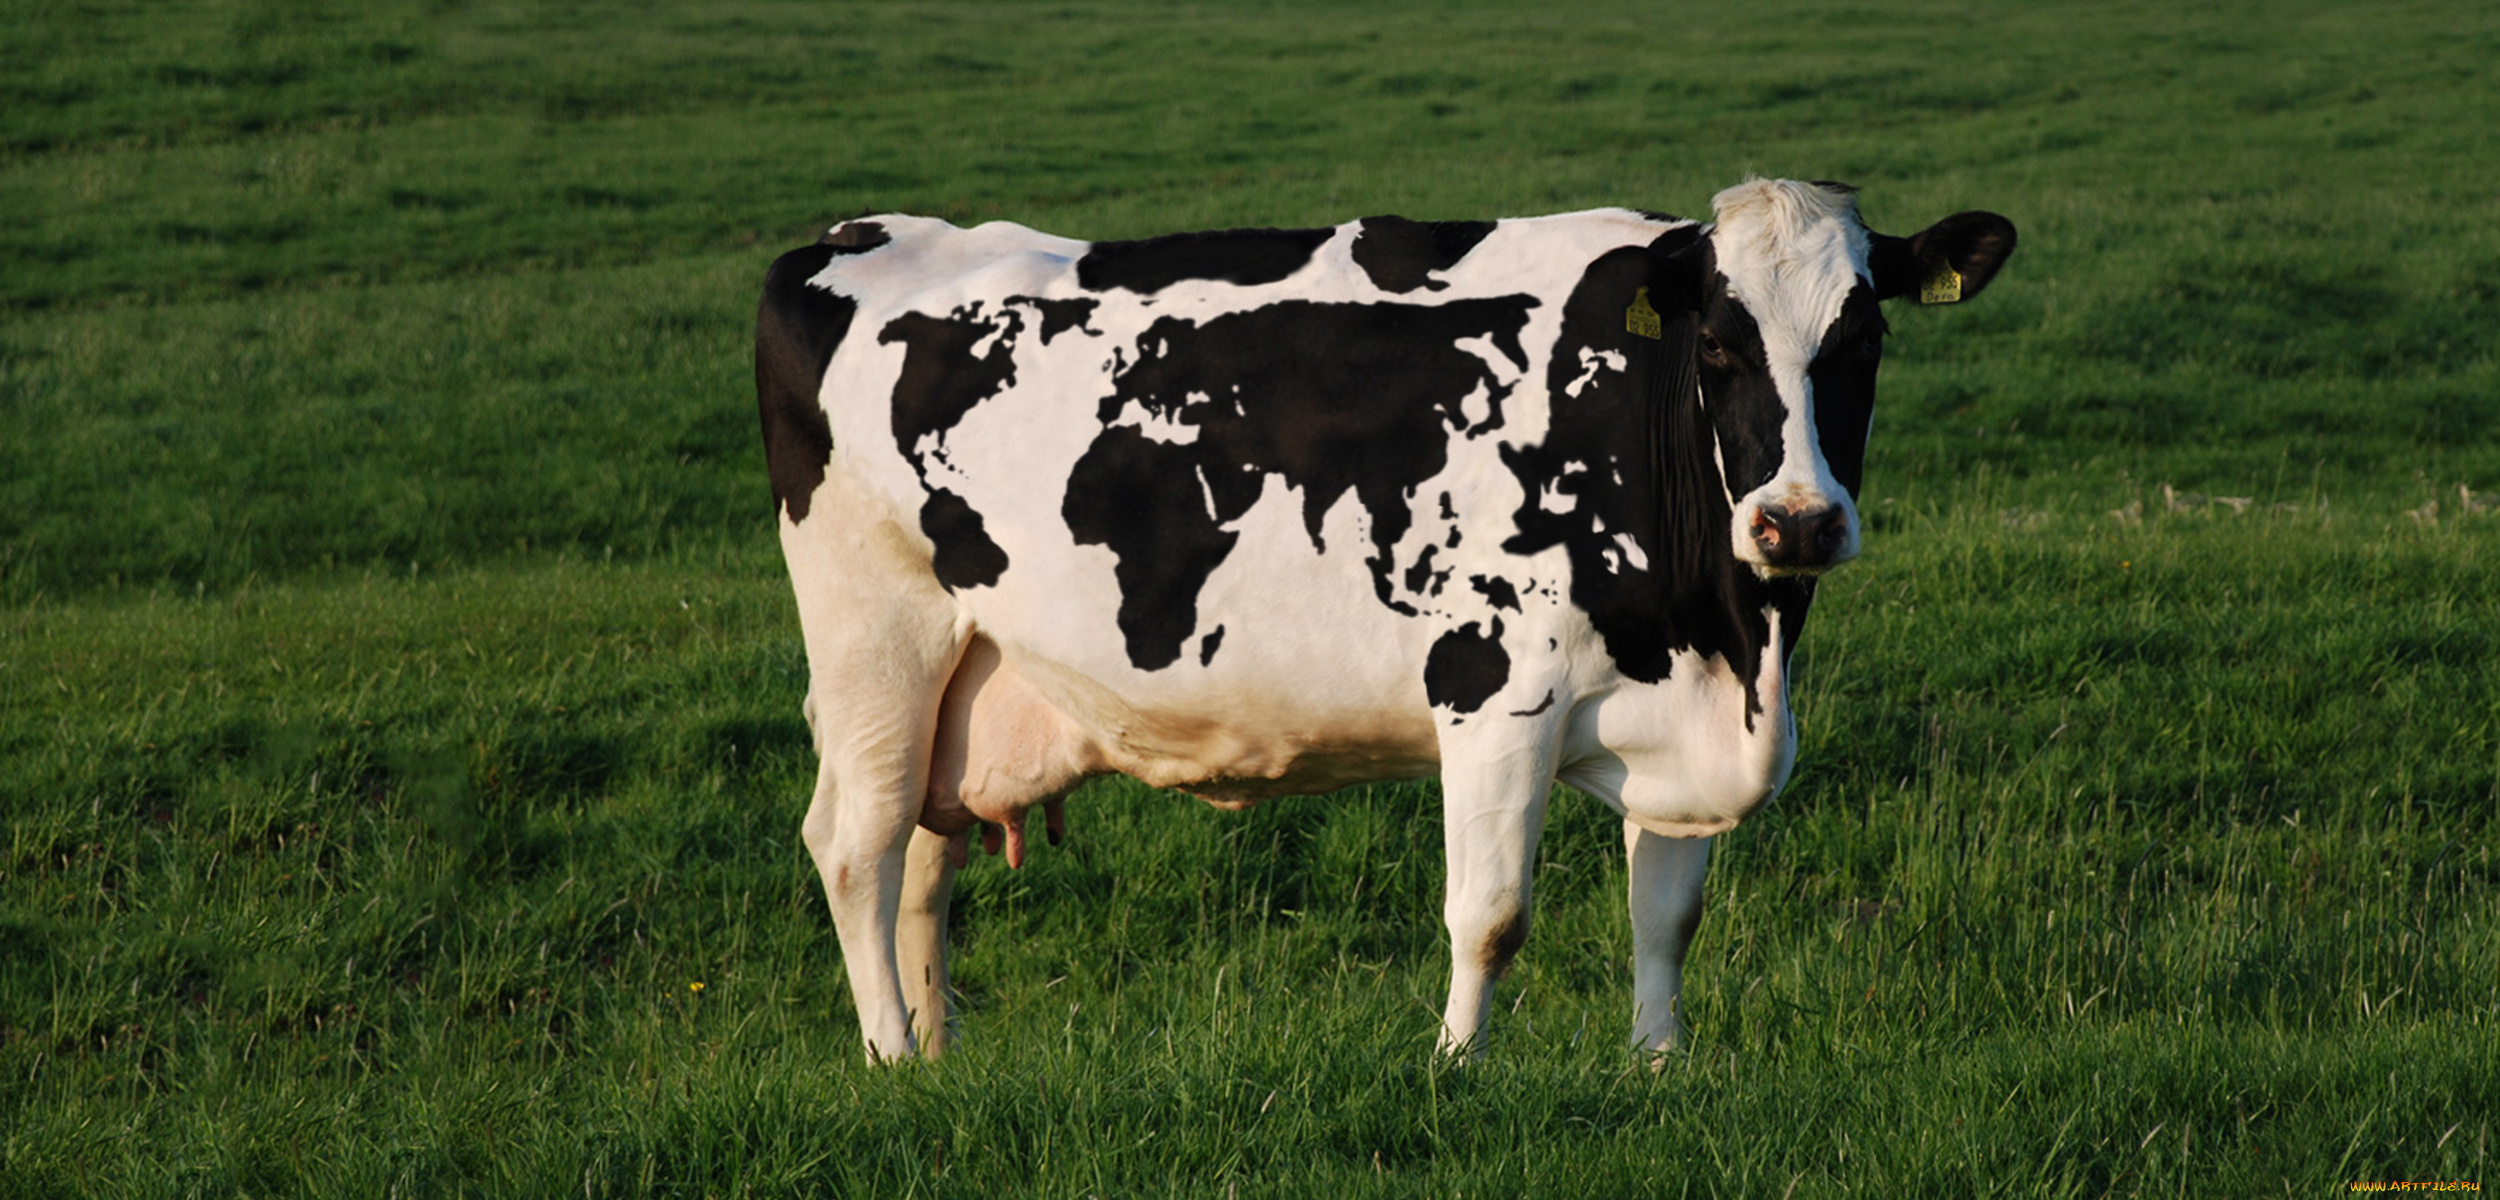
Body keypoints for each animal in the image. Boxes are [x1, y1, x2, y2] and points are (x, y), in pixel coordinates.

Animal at [755, 179, 2015, 1061]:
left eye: (1863, 340)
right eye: (1716, 344)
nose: (1794, 522)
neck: (1730, 638)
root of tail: (853, 236)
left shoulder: (1674, 699)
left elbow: (1668, 914)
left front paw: (1659, 1066)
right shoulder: (1495, 686)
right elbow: (1489, 914)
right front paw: (1455, 1067)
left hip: (963, 673)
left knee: (926, 857)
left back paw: (939, 1057)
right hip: (874, 635)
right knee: (857, 844)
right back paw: (886, 1055)